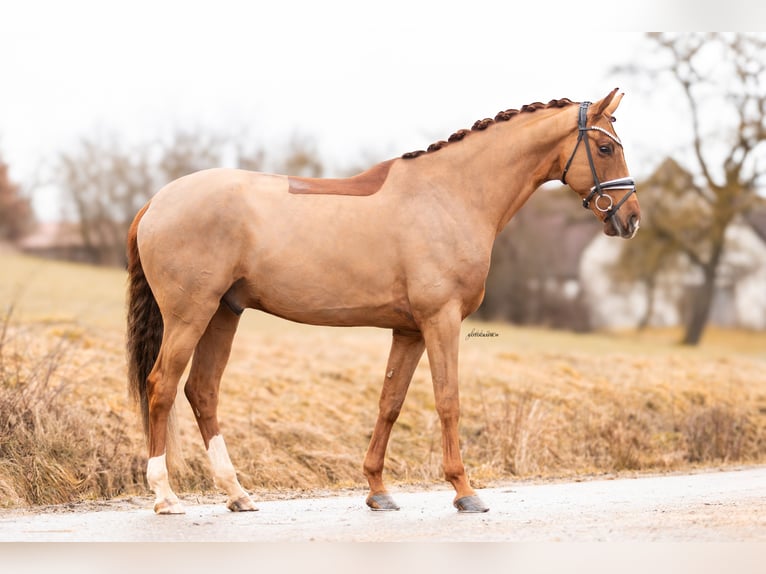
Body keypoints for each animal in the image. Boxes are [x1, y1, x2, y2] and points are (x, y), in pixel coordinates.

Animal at [126, 88, 640, 515]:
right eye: (606, 148)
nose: (631, 219)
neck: (450, 195)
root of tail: (155, 202)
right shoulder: (440, 320)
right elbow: (448, 400)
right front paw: (465, 491)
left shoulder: (409, 329)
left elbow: (389, 403)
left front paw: (378, 490)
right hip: (190, 315)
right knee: (162, 386)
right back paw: (166, 496)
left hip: (223, 314)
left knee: (202, 391)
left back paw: (237, 494)